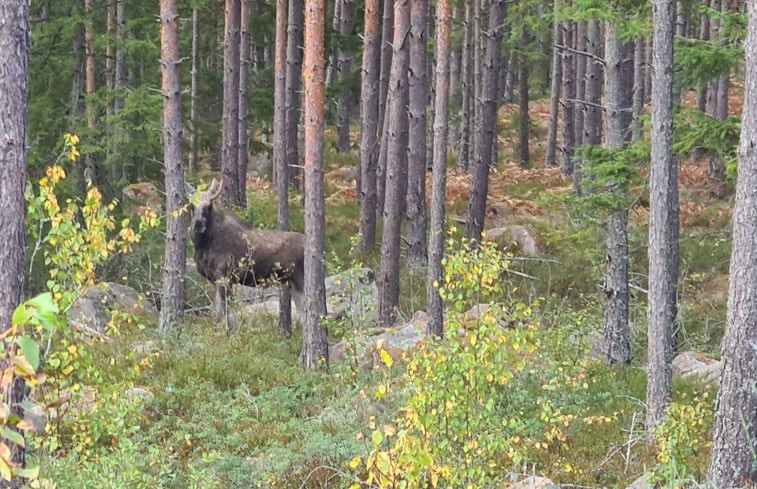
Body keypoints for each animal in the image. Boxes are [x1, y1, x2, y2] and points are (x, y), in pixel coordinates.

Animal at [188, 179, 304, 332]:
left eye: (209, 205)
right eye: (191, 205)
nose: (198, 224)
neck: (203, 244)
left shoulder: (225, 276)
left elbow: (227, 311)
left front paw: (228, 333)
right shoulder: (214, 279)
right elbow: (216, 311)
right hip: (293, 283)